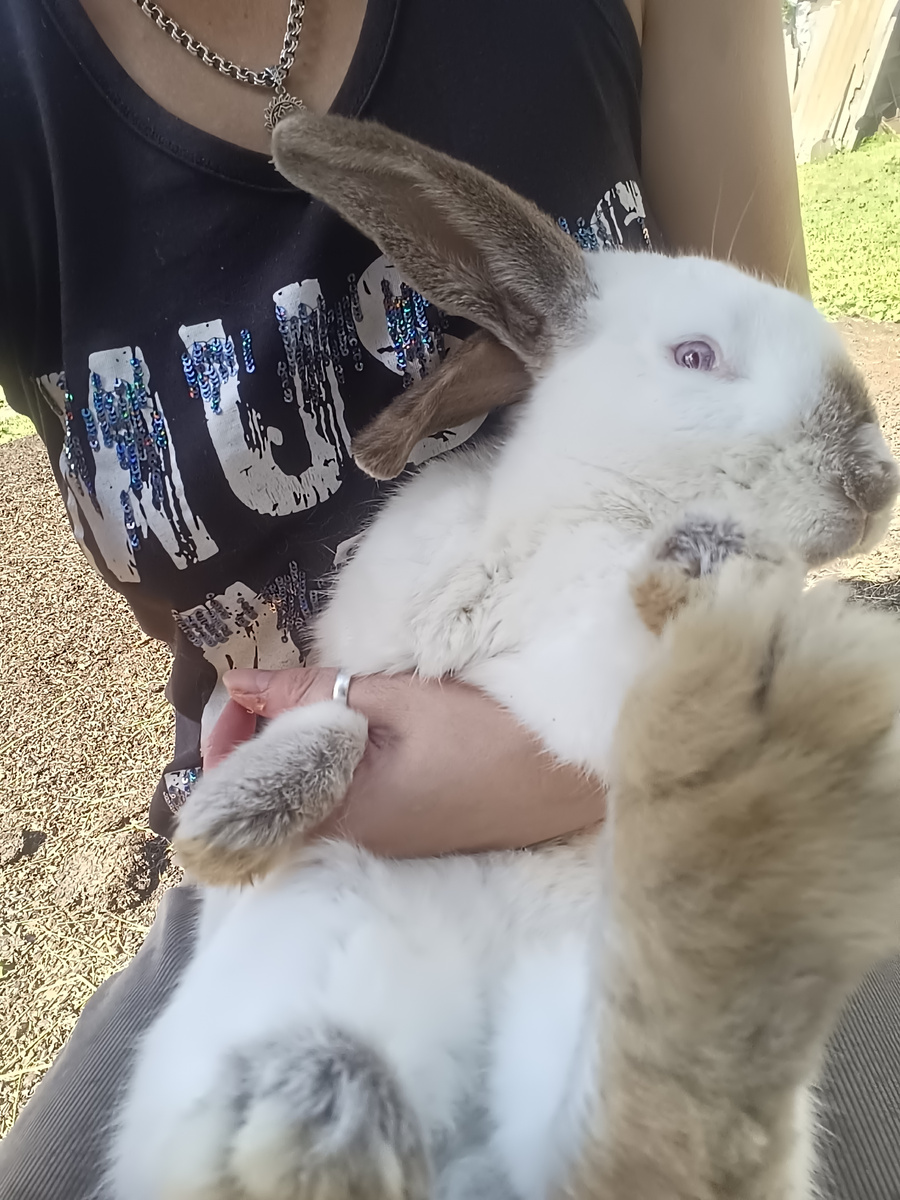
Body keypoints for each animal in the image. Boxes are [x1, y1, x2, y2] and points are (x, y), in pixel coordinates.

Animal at [101, 112, 900, 1200]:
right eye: (695, 355)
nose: (877, 478)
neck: (580, 516)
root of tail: (469, 1169)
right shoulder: (378, 652)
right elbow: (339, 713)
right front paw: (230, 823)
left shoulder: (578, 683)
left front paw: (714, 584)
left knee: (649, 1147)